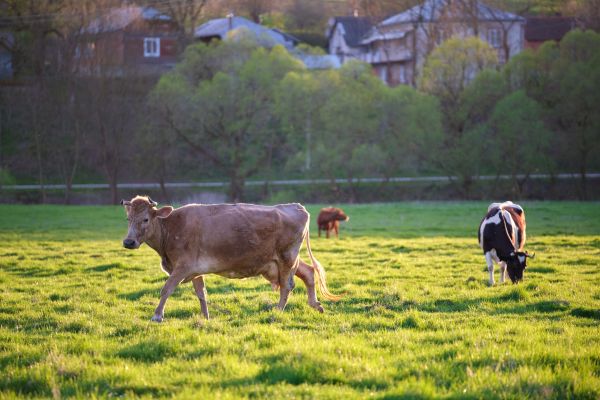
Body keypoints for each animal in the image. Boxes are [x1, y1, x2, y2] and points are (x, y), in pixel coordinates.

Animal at [120, 195, 340, 322]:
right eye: (128, 218)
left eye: (145, 219)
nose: (128, 242)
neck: (171, 228)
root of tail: (295, 206)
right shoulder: (195, 270)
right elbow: (201, 294)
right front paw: (206, 317)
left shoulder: (182, 267)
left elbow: (166, 289)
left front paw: (157, 315)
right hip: (283, 259)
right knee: (308, 272)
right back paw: (315, 304)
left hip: (287, 257)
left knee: (287, 285)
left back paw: (277, 311)